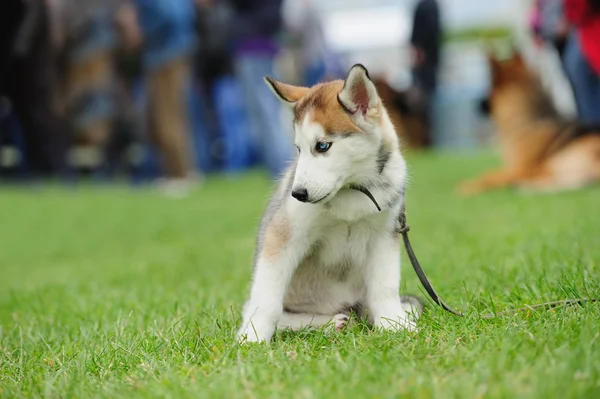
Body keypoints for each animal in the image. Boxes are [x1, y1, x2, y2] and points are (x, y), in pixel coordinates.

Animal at [237, 63, 424, 344]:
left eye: (323, 146)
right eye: (298, 149)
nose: (298, 193)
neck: (352, 190)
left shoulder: (384, 234)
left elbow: (385, 286)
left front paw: (393, 323)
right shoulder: (284, 235)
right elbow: (267, 299)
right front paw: (253, 336)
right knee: (275, 312)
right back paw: (328, 322)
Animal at [458, 52, 600, 196]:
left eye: (488, 89)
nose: (476, 104)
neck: (528, 123)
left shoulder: (519, 169)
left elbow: (488, 176)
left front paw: (465, 188)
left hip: (561, 161)